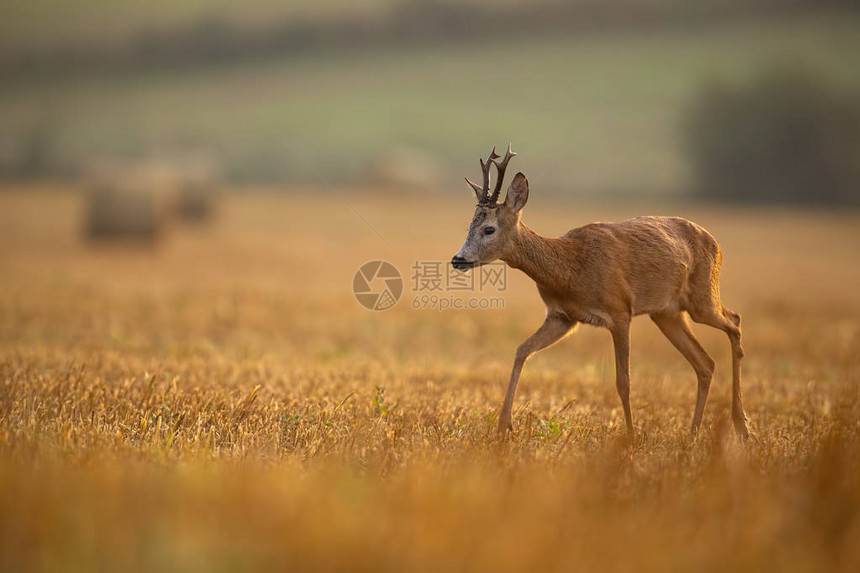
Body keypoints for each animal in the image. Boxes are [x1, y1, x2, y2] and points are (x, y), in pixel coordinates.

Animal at [454, 144, 748, 438]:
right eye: (469, 226)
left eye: (489, 229)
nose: (458, 259)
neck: (570, 269)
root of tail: (714, 241)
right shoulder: (563, 317)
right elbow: (521, 350)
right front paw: (504, 426)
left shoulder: (620, 311)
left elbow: (623, 381)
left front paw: (630, 437)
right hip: (667, 313)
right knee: (706, 363)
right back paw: (694, 432)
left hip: (702, 298)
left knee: (734, 321)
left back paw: (741, 425)